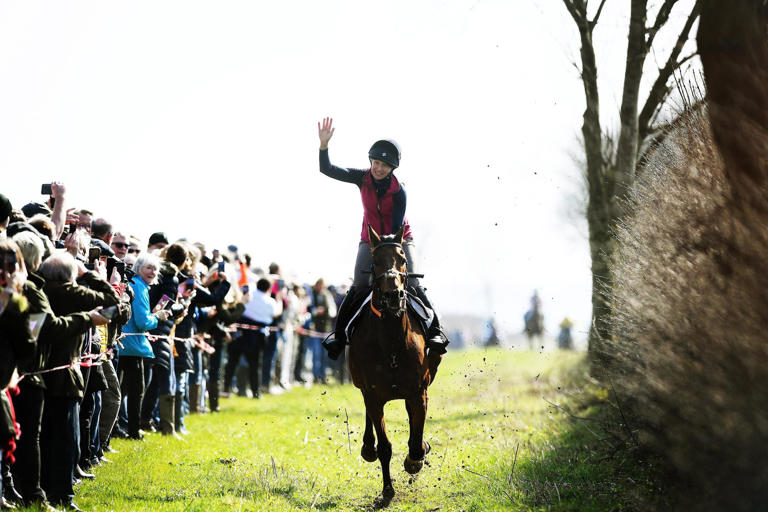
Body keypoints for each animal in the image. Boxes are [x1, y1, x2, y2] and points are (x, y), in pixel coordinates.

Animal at [347, 224, 441, 505]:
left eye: (402, 260)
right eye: (376, 261)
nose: (392, 295)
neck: (391, 342)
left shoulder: (418, 392)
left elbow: (416, 443)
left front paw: (415, 460)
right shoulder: (373, 395)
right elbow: (385, 447)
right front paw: (387, 491)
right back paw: (367, 447)